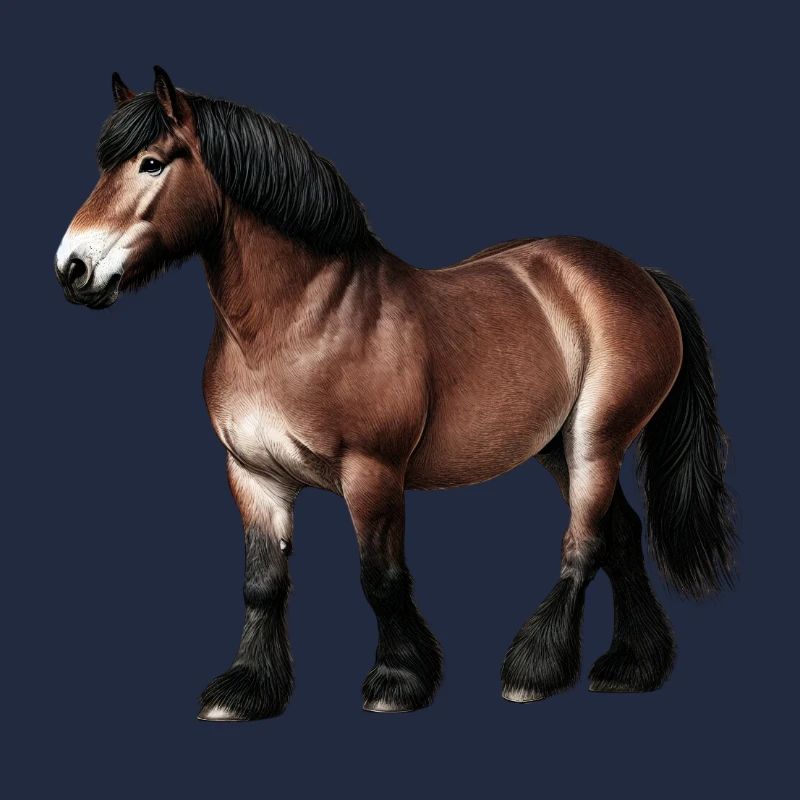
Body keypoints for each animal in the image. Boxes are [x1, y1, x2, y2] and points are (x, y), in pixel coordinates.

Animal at [55, 67, 737, 721]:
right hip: (556, 447)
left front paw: (398, 682)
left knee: (585, 542)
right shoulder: (252, 475)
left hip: (598, 438)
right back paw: (631, 668)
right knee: (621, 534)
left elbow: (380, 579)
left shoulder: (373, 473)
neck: (299, 322)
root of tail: (635, 274)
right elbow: (262, 585)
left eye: (151, 162)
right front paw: (245, 691)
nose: (72, 268)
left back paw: (535, 671)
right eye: (105, 165)